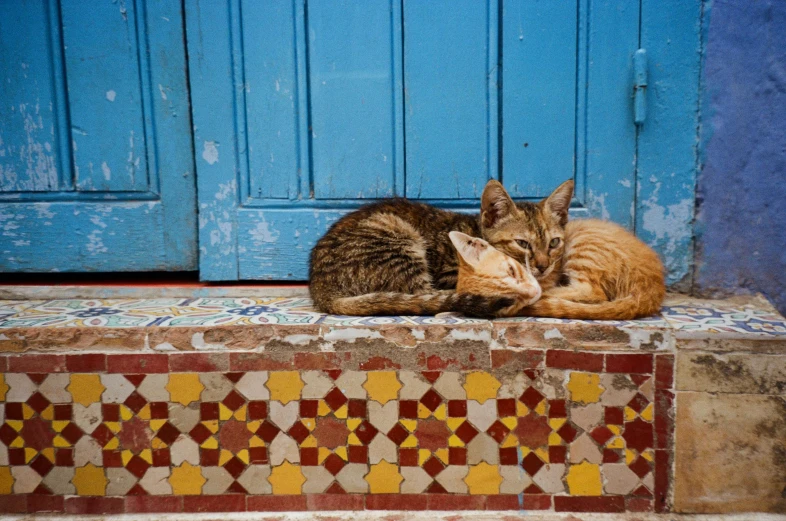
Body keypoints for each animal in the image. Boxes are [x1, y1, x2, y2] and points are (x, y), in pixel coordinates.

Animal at [304, 181, 548, 314]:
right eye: (522, 244)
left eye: (552, 243)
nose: (544, 265)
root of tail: (320, 286)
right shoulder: (450, 273)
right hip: (396, 237)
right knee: (424, 295)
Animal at [454, 179, 660, 318]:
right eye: (523, 244)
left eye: (553, 243)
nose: (543, 267)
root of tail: (652, 289)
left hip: (583, 246)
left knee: (593, 292)